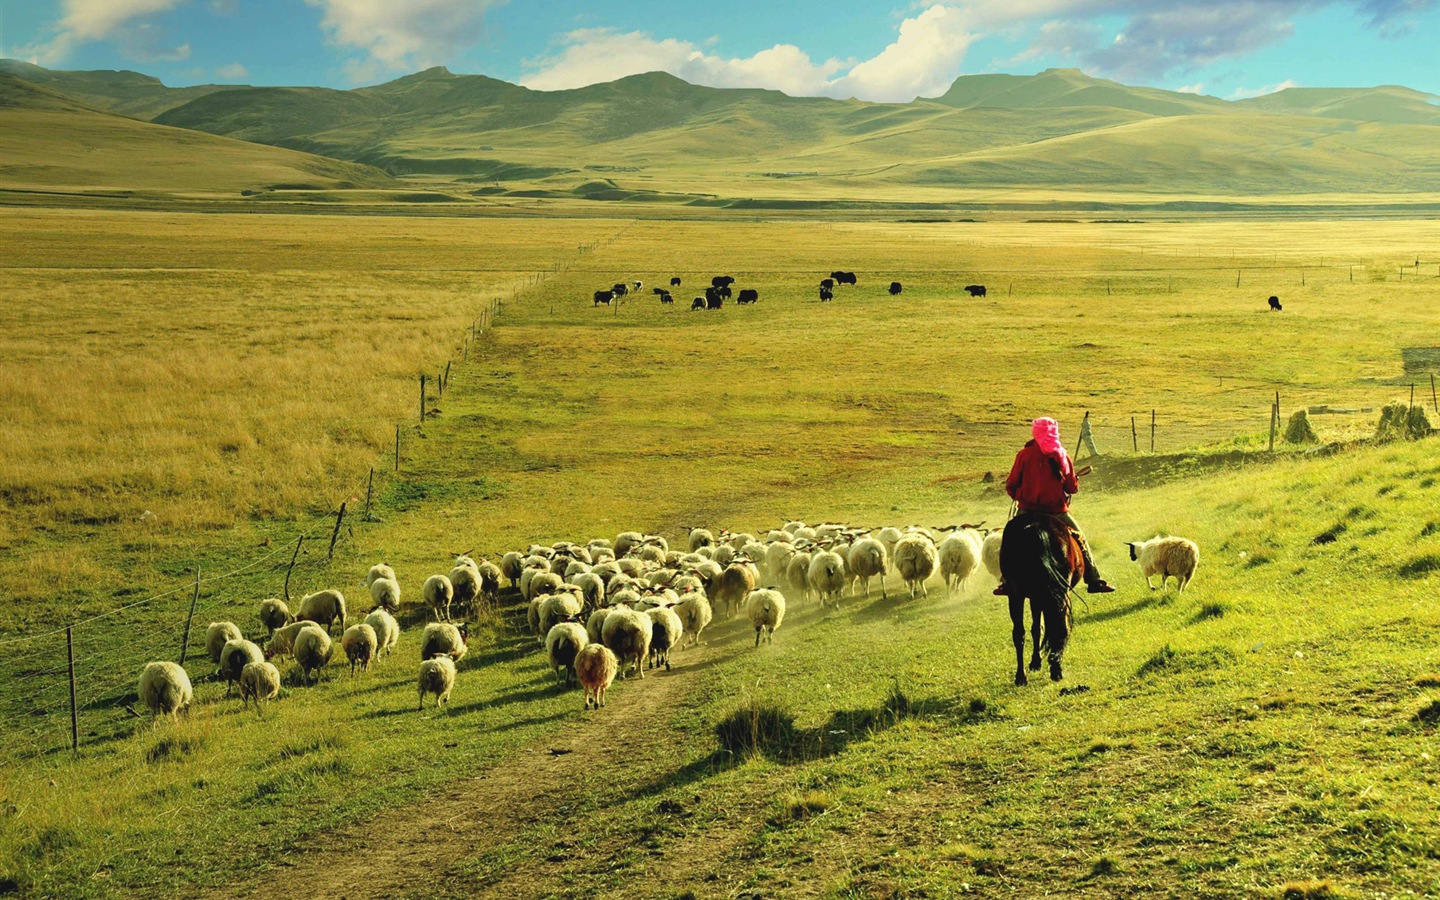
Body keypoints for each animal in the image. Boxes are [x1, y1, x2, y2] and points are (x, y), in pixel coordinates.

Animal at [1002, 509, 1082, 685]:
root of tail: (1036, 528)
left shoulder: (1035, 597)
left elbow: (1036, 628)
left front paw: (1036, 662)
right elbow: (1042, 627)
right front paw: (1039, 661)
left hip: (1016, 594)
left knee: (1019, 633)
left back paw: (1021, 676)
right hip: (1058, 592)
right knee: (1061, 626)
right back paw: (1055, 669)